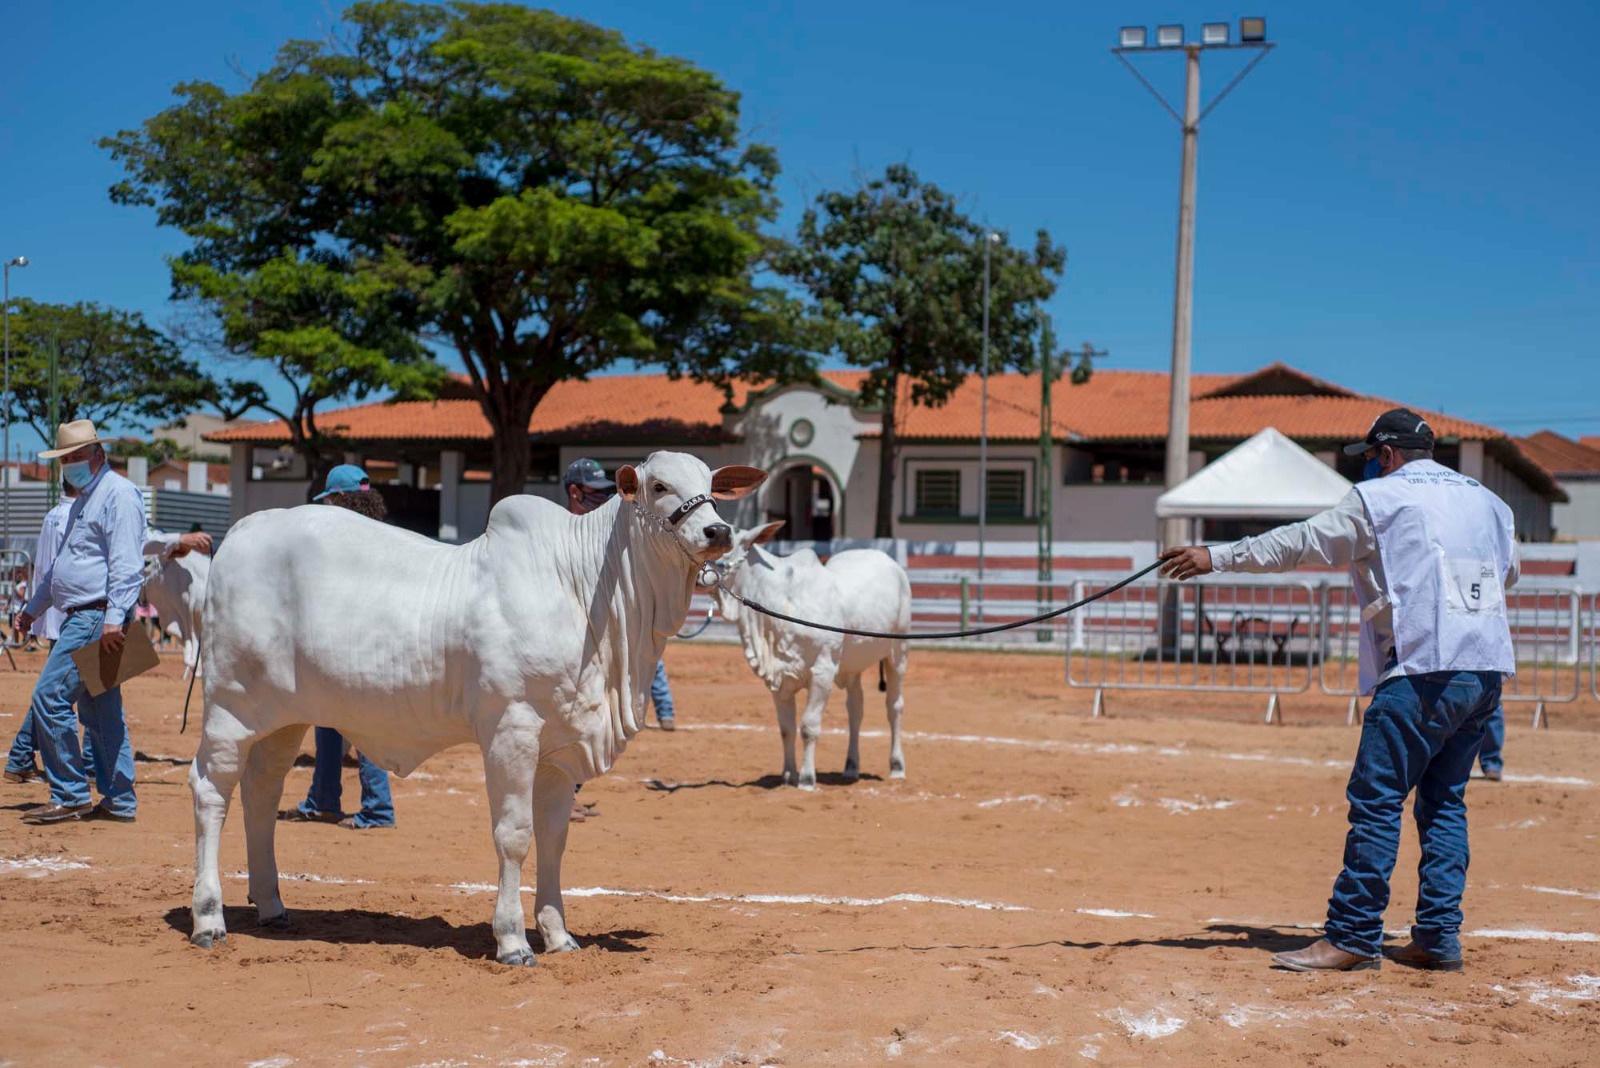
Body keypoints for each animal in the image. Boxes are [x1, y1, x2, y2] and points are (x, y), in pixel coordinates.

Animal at [190, 454, 764, 965]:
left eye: (711, 485)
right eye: (660, 485)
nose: (717, 531)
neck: (586, 594)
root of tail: (240, 532)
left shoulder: (560, 751)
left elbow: (553, 838)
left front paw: (559, 935)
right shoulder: (512, 729)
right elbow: (514, 835)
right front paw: (512, 941)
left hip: (283, 719)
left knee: (261, 794)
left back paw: (272, 905)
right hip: (229, 709)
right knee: (211, 792)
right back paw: (208, 918)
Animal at [704, 521, 908, 789]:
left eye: (727, 542)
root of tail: (891, 563)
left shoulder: (823, 672)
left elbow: (809, 726)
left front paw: (807, 779)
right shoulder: (778, 679)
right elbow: (786, 729)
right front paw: (788, 776)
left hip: (898, 653)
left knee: (894, 707)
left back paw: (897, 766)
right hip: (852, 667)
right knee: (856, 709)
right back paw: (851, 767)